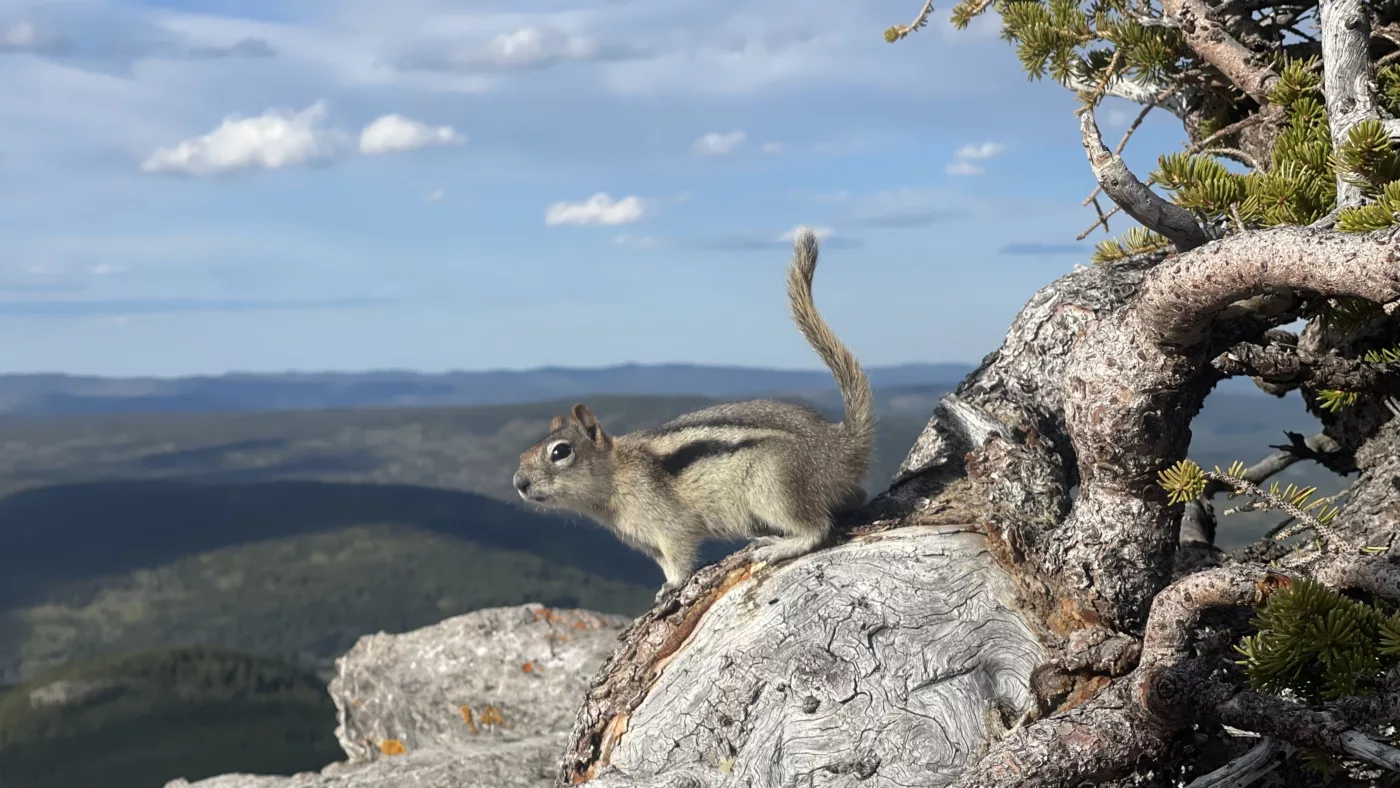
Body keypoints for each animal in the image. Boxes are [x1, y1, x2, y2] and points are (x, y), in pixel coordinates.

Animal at [509, 230, 868, 601]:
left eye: (560, 452)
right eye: (523, 454)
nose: (519, 483)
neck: (615, 475)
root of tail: (839, 447)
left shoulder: (670, 525)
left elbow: (679, 556)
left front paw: (675, 584)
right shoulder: (647, 540)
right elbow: (664, 564)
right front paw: (663, 588)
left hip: (775, 487)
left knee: (816, 530)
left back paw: (778, 546)